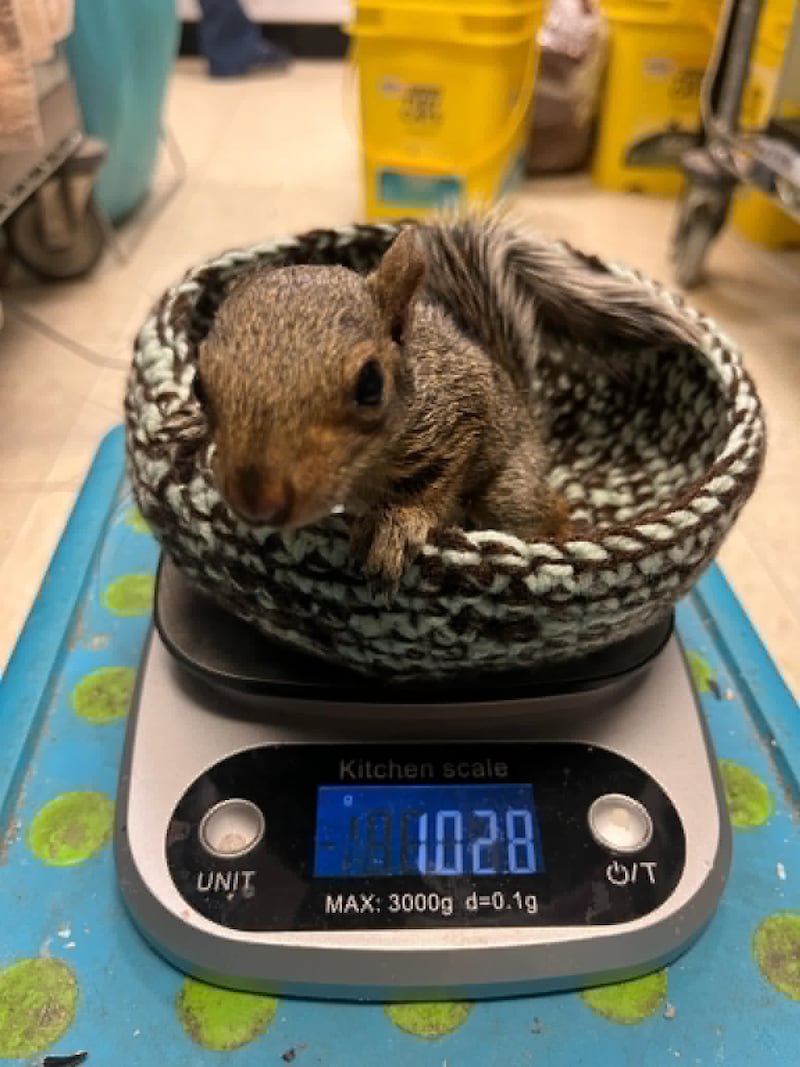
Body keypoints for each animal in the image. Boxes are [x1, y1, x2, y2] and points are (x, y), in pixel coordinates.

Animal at [197, 213, 703, 590]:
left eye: (370, 384)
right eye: (200, 385)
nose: (255, 502)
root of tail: (523, 406)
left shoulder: (460, 411)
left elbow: (433, 482)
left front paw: (396, 523)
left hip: (507, 491)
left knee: (540, 505)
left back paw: (565, 529)